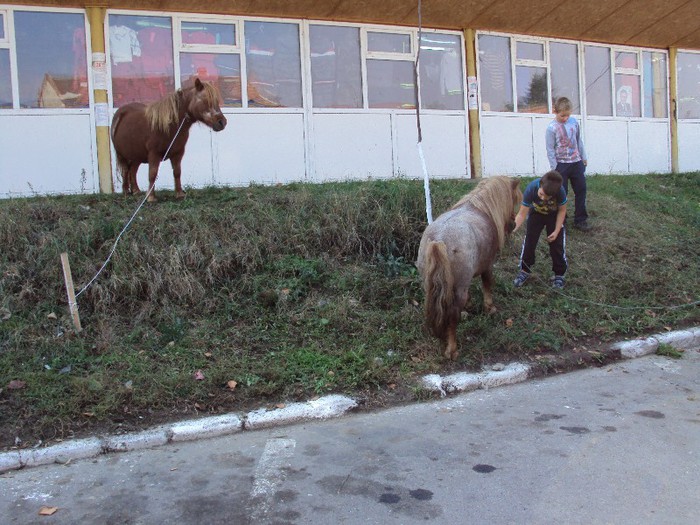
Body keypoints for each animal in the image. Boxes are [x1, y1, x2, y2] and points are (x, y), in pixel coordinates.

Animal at [416, 176, 520, 360]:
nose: (513, 224)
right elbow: (487, 285)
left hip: (430, 285)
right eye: (514, 198)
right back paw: (452, 350)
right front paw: (489, 308)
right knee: (452, 315)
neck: (481, 208)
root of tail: (439, 240)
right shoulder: (488, 266)